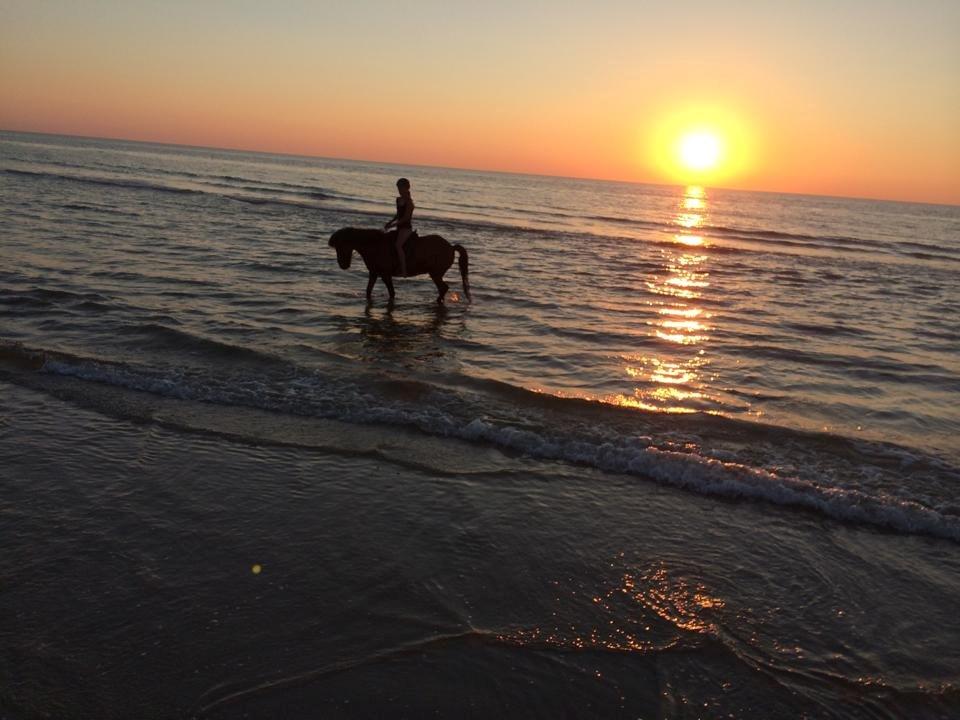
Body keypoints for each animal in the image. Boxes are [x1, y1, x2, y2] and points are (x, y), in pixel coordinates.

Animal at [330, 228, 472, 300]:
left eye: (340, 246)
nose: (343, 265)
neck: (375, 245)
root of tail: (451, 247)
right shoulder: (374, 274)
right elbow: (368, 291)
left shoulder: (385, 275)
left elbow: (392, 292)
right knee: (443, 288)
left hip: (435, 274)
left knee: (443, 288)